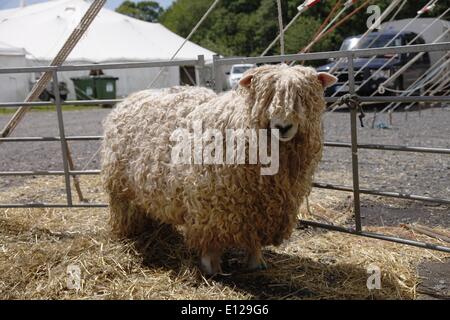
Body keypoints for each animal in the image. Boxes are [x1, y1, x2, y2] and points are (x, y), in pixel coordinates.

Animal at [100, 65, 336, 276]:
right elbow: (210, 242)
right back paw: (128, 236)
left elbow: (253, 240)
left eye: (302, 97)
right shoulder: (209, 203)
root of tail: (129, 98)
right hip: (119, 186)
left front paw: (256, 262)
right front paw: (210, 268)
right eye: (266, 96)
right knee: (123, 210)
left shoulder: (259, 208)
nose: (283, 127)